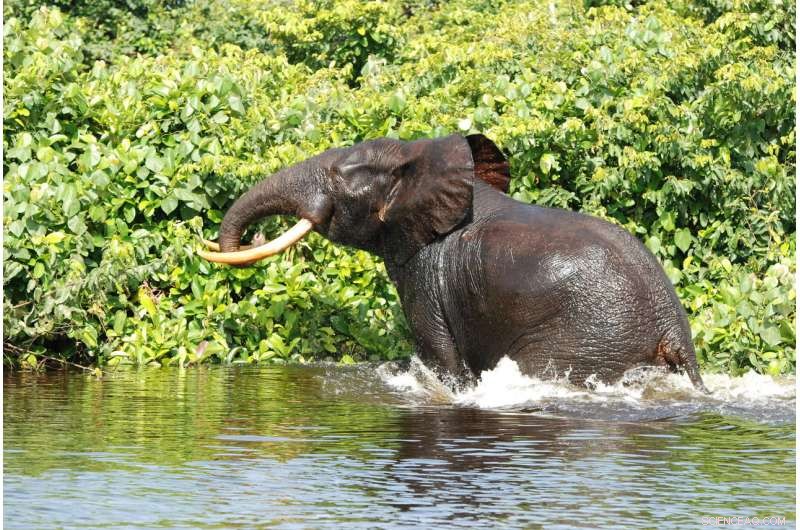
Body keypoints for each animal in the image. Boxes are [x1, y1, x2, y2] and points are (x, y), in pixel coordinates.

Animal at [200, 134, 708, 393]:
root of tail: (671, 325)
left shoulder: (427, 275)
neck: (420, 158)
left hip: (587, 338)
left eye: (341, 176)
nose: (254, 235)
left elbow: (441, 358)